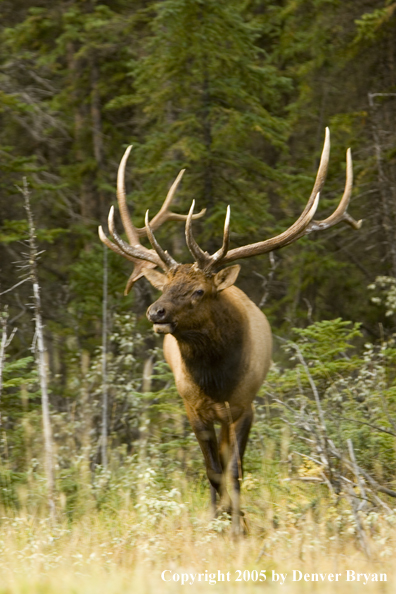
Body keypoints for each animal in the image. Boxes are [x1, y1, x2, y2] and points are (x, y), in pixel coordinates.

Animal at [99, 128, 362, 532]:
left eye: (198, 291)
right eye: (165, 286)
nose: (155, 311)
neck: (216, 380)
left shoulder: (244, 405)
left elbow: (235, 470)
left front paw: (239, 526)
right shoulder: (193, 407)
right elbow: (212, 471)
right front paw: (219, 522)